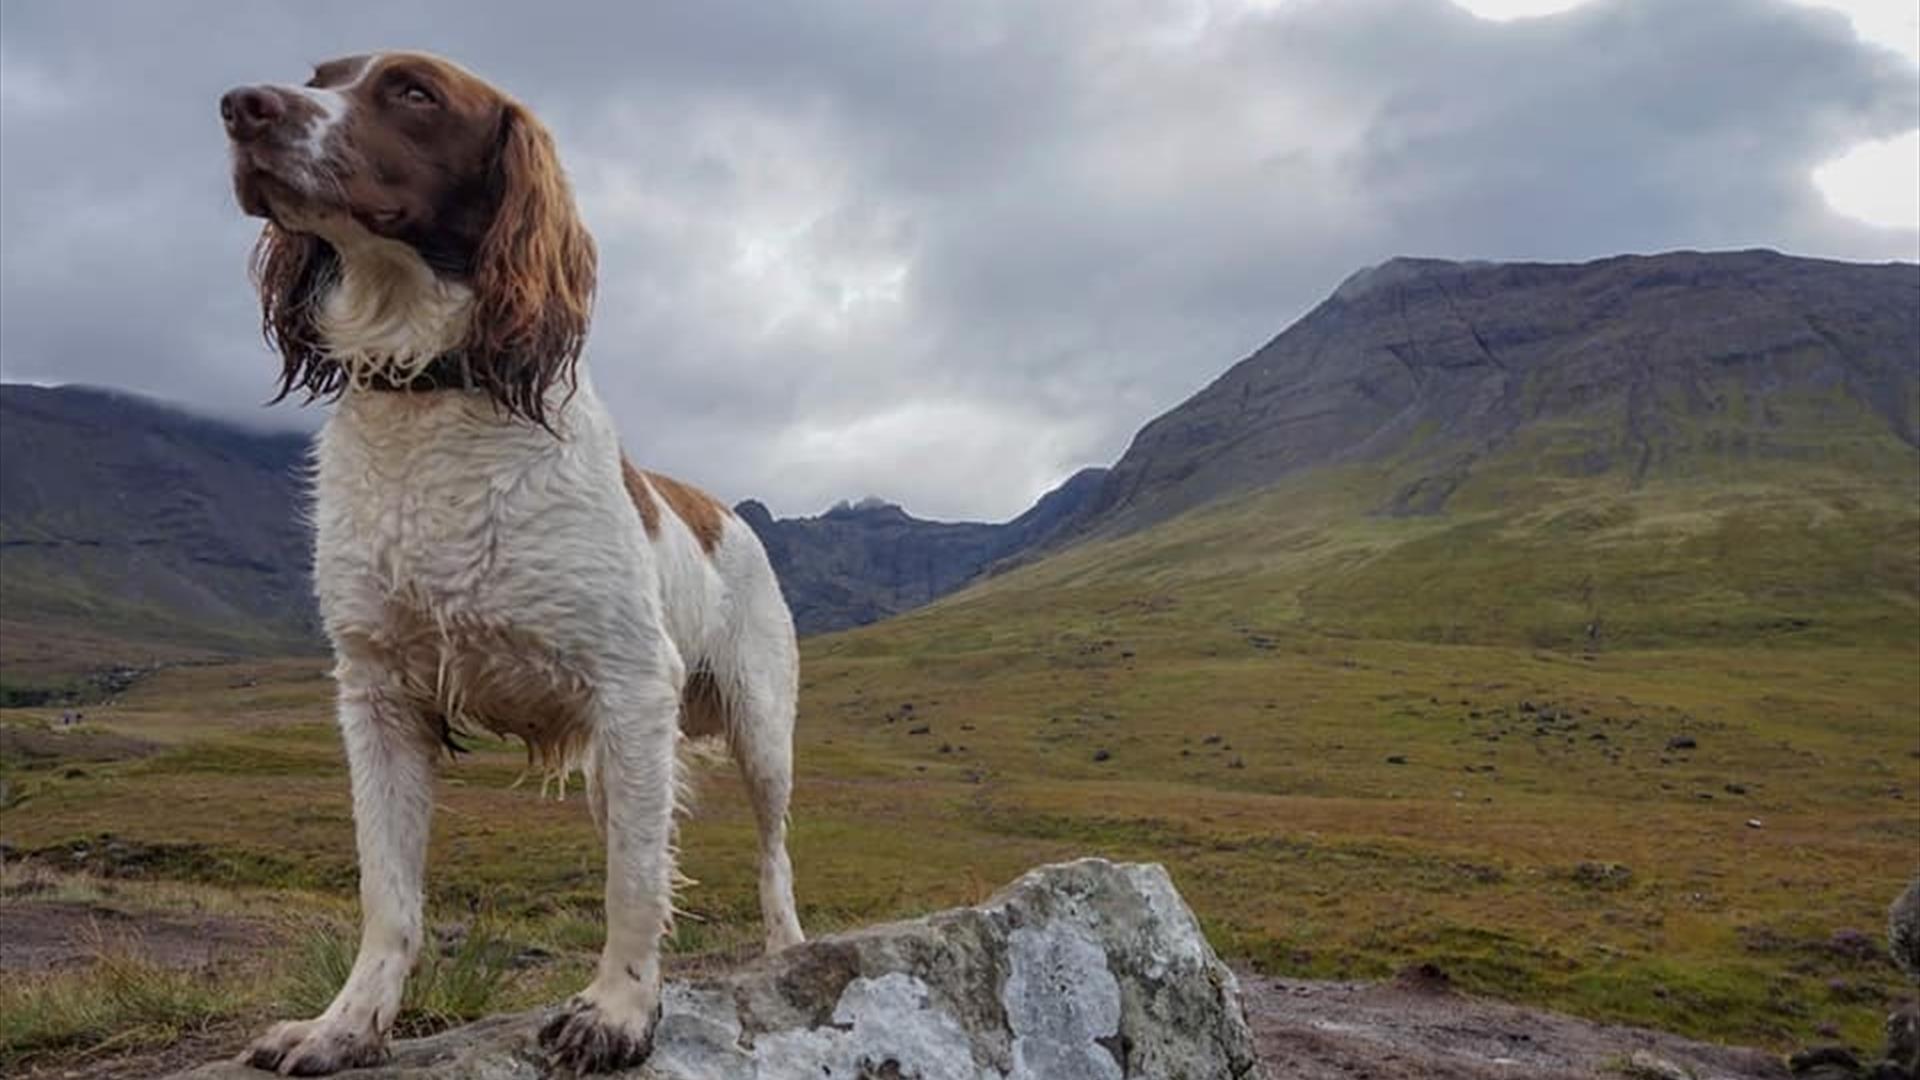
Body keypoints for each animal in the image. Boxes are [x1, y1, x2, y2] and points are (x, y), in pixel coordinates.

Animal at [222, 52, 802, 1068]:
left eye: (413, 93)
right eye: (318, 77)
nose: (242, 108)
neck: (432, 391)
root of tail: (724, 508)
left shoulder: (631, 684)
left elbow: (632, 886)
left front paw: (618, 1011)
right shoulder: (377, 697)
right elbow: (389, 896)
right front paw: (345, 1025)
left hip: (759, 728)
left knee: (773, 850)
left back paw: (785, 947)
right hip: (619, 764)